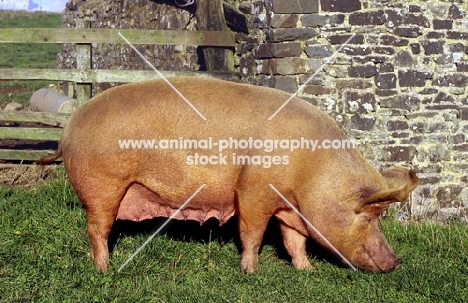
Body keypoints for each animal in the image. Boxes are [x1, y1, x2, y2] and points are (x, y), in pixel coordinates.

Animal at [39, 77, 416, 274]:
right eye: (368, 215)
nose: (397, 260)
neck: (311, 172)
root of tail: (68, 131)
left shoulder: (290, 207)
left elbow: (295, 240)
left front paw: (306, 270)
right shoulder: (253, 190)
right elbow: (252, 233)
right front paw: (251, 271)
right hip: (102, 186)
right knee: (96, 229)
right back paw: (104, 269)